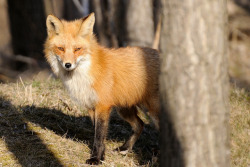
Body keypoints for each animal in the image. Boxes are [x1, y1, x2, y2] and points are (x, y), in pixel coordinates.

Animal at [44, 12, 159, 164]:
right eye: (61, 48)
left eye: (77, 49)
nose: (67, 64)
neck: (85, 74)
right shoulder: (91, 106)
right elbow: (98, 133)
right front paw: (102, 156)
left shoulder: (103, 106)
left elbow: (99, 135)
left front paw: (96, 158)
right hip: (123, 109)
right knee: (140, 125)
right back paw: (124, 148)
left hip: (152, 111)